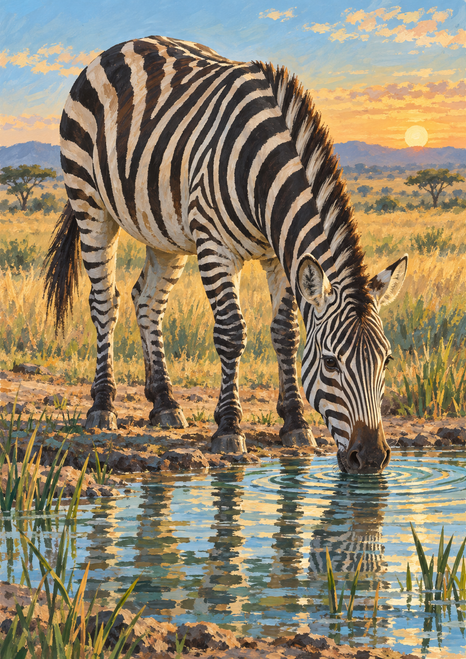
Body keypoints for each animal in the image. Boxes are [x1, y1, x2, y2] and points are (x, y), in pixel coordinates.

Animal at [44, 35, 407, 474]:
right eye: (331, 362)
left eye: (387, 361)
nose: (370, 457)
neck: (264, 172)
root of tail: (121, 46)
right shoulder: (215, 245)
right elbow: (232, 333)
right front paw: (230, 428)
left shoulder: (279, 256)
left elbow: (285, 334)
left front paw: (294, 422)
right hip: (90, 202)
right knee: (105, 303)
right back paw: (102, 405)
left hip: (163, 229)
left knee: (146, 302)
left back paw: (164, 403)